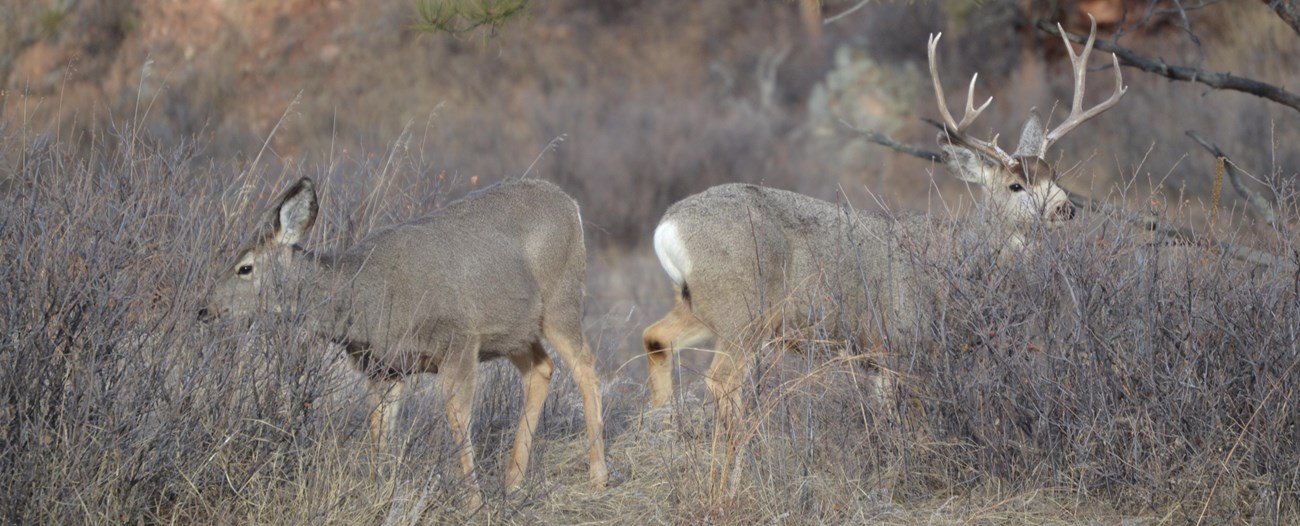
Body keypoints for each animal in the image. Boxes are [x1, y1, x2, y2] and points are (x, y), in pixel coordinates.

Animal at [198, 177, 608, 503]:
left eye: (245, 267)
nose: (204, 308)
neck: (363, 299)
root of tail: (570, 204)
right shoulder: (385, 368)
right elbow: (379, 431)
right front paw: (378, 492)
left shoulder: (457, 340)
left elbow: (458, 421)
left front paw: (474, 502)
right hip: (515, 332)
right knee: (543, 368)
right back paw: (514, 482)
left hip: (560, 300)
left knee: (586, 366)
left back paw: (598, 475)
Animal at [644, 18, 1123, 423]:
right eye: (1015, 186)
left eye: (1054, 175)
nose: (1066, 208)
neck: (960, 265)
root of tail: (667, 227)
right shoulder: (899, 340)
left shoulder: (881, 358)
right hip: (742, 308)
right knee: (721, 380)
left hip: (700, 304)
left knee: (655, 337)